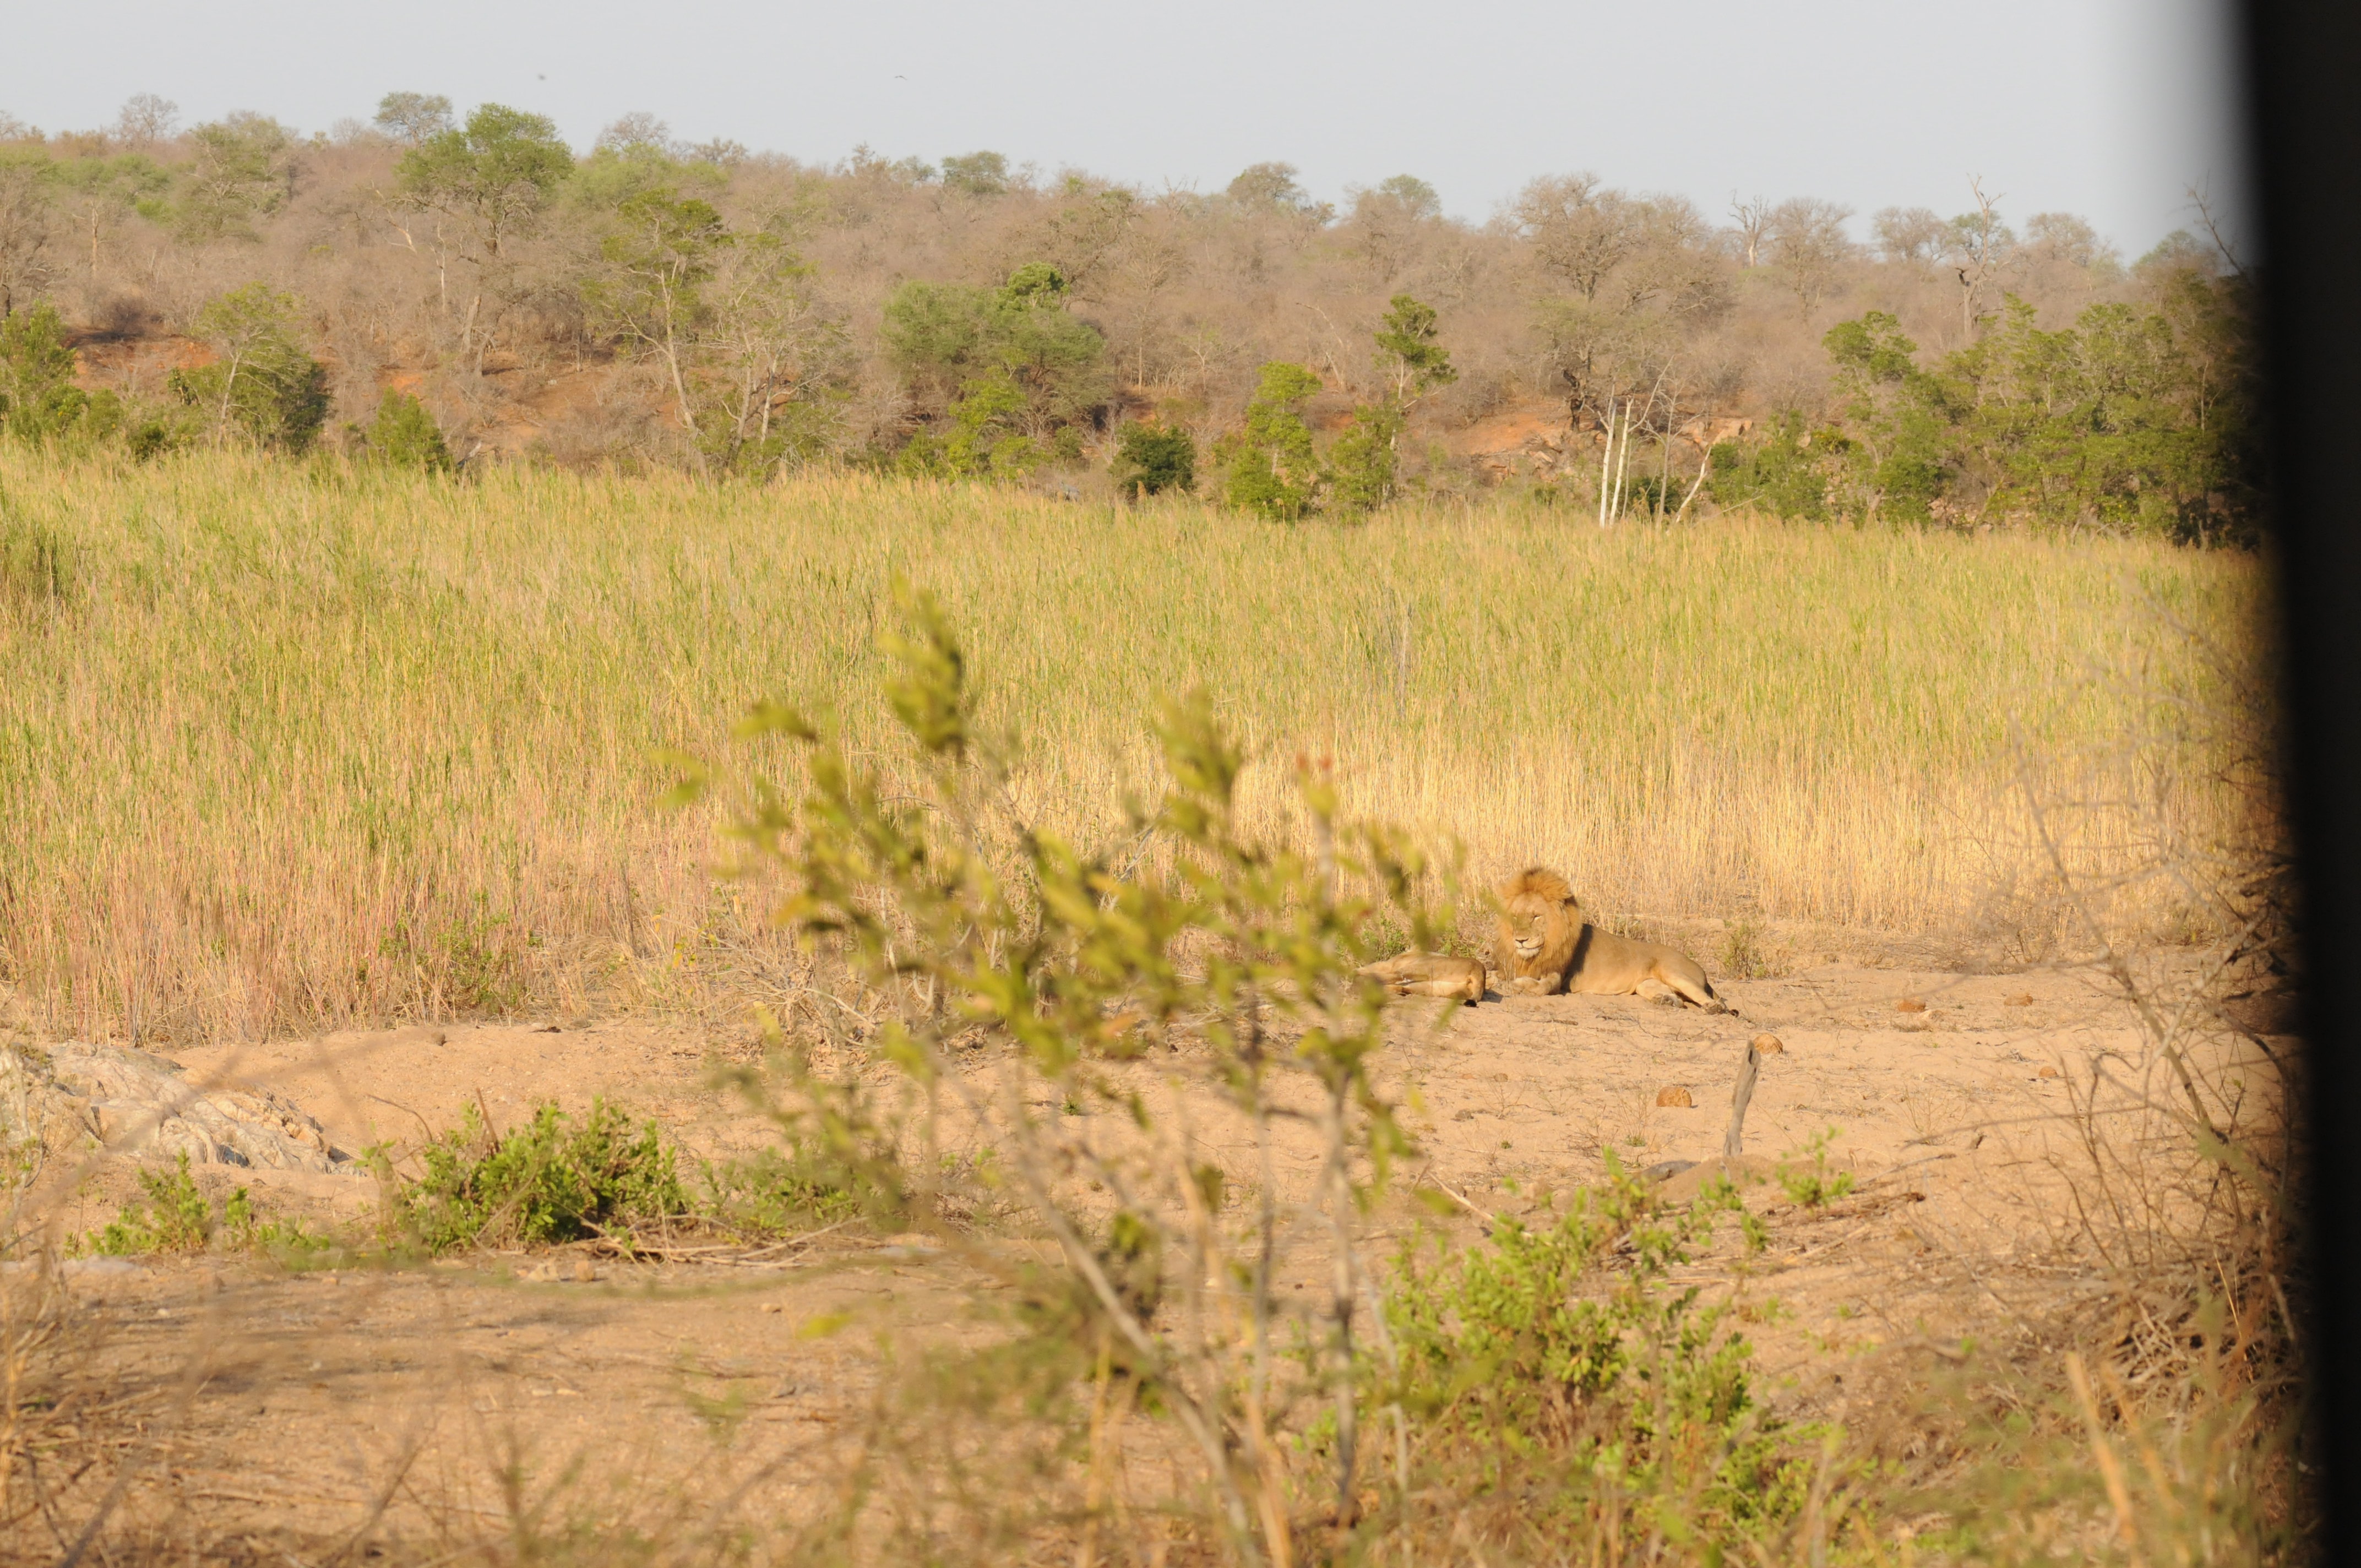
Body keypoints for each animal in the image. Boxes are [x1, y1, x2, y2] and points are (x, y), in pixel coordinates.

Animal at [1357, 952, 1487, 1004]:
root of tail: (1480, 970)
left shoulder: (1386, 964)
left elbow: (1368, 967)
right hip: (1430, 987)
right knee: (1399, 988)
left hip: (1424, 967)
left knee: (1397, 975)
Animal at [1492, 867, 1729, 1011]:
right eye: (1515, 917)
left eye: (1536, 916)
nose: (1520, 941)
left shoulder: (1559, 975)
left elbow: (1543, 987)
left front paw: (1520, 984)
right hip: (1646, 985)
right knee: (1676, 998)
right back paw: (1666, 1000)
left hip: (1675, 972)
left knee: (1715, 1001)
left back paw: (1714, 1008)